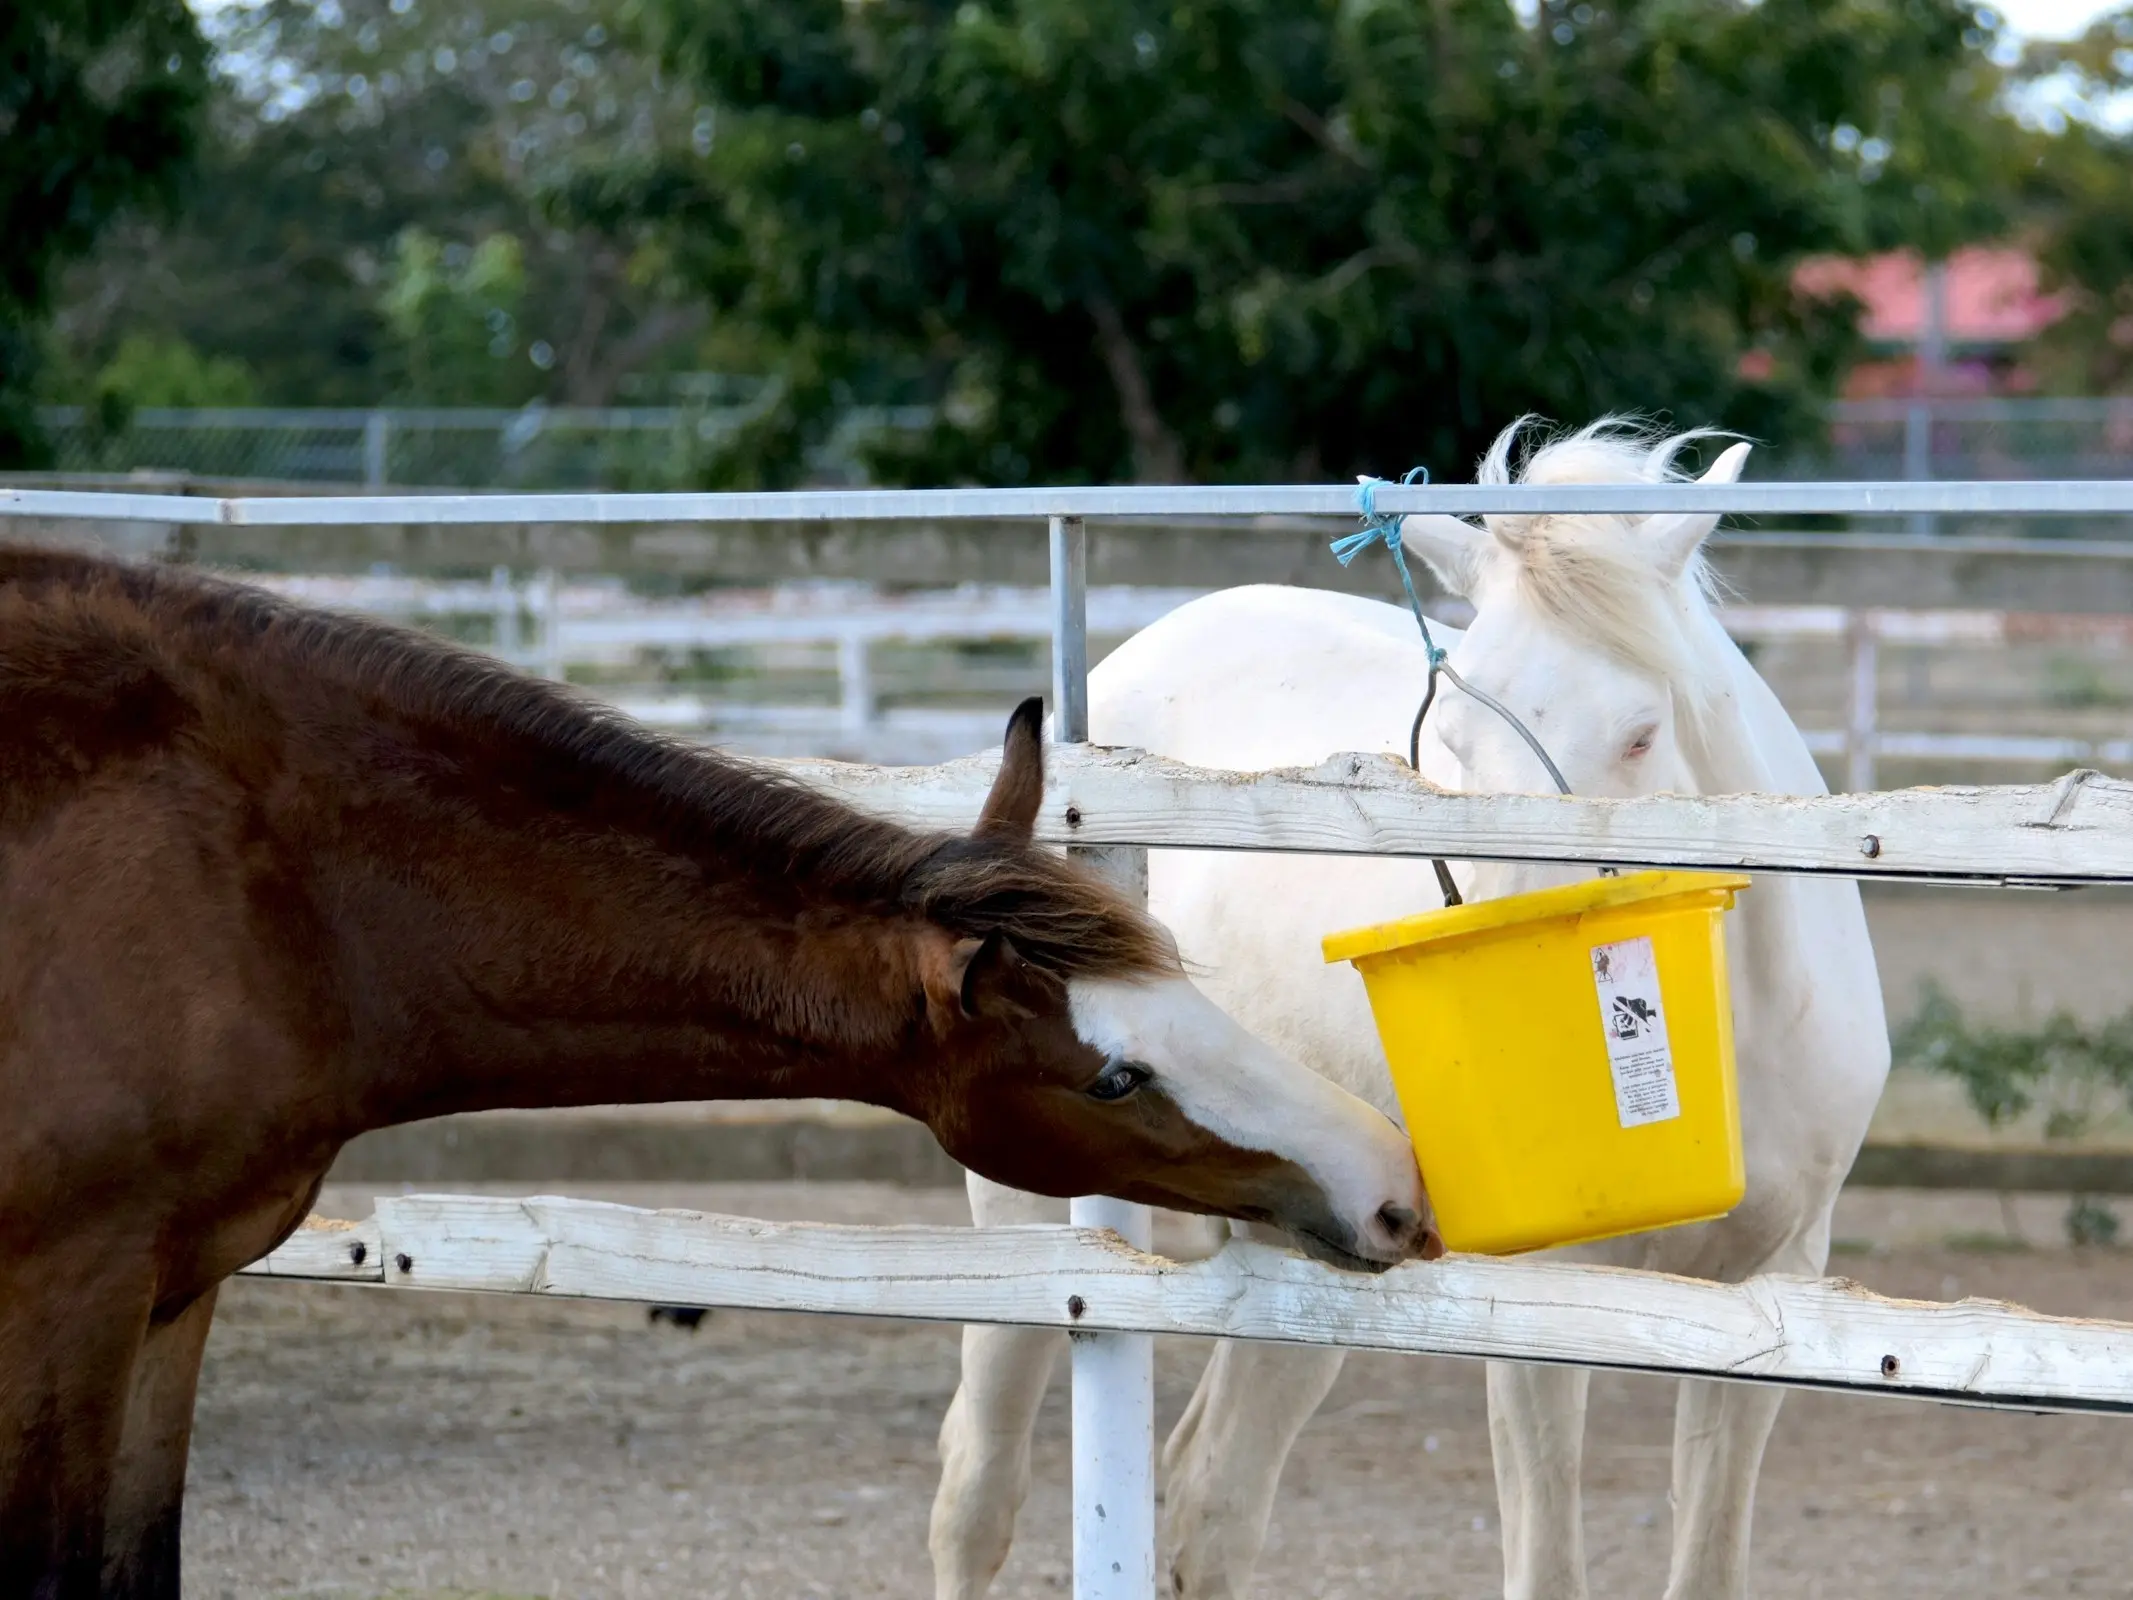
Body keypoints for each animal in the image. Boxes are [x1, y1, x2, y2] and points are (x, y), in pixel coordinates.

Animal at [929, 422, 1885, 1600]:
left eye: (1640, 733)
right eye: (1456, 746)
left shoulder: (1768, 1288)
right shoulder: (1542, 1303)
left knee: (1212, 1497)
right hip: (1024, 1213)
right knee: (979, 1491)